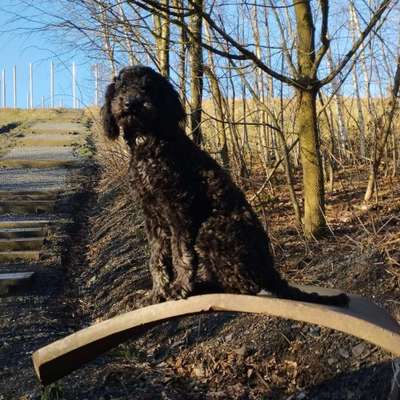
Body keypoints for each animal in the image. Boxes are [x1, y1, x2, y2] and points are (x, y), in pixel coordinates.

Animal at [101, 65, 348, 308]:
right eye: (121, 87)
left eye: (148, 87)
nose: (131, 103)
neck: (149, 144)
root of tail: (270, 271)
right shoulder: (152, 215)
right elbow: (157, 257)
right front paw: (156, 293)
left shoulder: (178, 209)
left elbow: (181, 253)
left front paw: (179, 287)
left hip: (210, 228)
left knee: (243, 286)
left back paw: (201, 287)